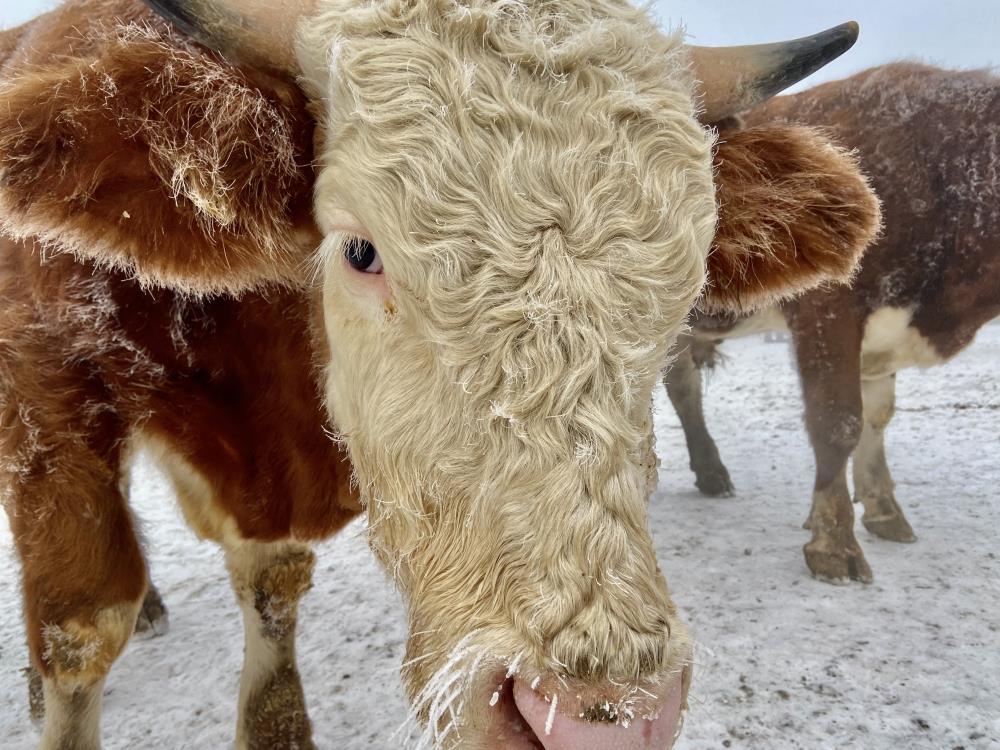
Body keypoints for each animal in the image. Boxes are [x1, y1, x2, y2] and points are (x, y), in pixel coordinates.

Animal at [0, 2, 880, 748]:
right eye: (361, 251)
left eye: (690, 282)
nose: (593, 721)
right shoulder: (47, 395)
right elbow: (83, 628)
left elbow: (273, 590)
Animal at [664, 63, 1000, 588]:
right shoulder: (827, 310)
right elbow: (838, 420)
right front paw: (834, 542)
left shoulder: (883, 332)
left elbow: (877, 417)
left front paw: (883, 508)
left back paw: (710, 473)